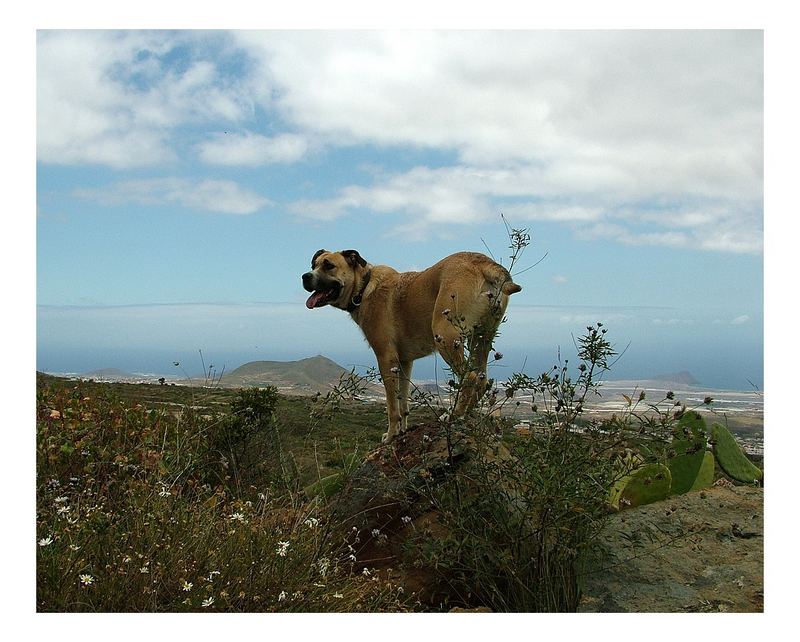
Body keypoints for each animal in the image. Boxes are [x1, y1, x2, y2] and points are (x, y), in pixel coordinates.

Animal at [304, 249, 520, 440]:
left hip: (445, 335)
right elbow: (403, 402)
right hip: (482, 338)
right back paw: (464, 414)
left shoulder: (386, 358)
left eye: (328, 265)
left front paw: (391, 435)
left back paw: (454, 415)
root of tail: (483, 262)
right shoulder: (404, 362)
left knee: (470, 377)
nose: (305, 276)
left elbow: (392, 406)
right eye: (314, 265)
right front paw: (402, 431)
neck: (363, 287)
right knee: (481, 378)